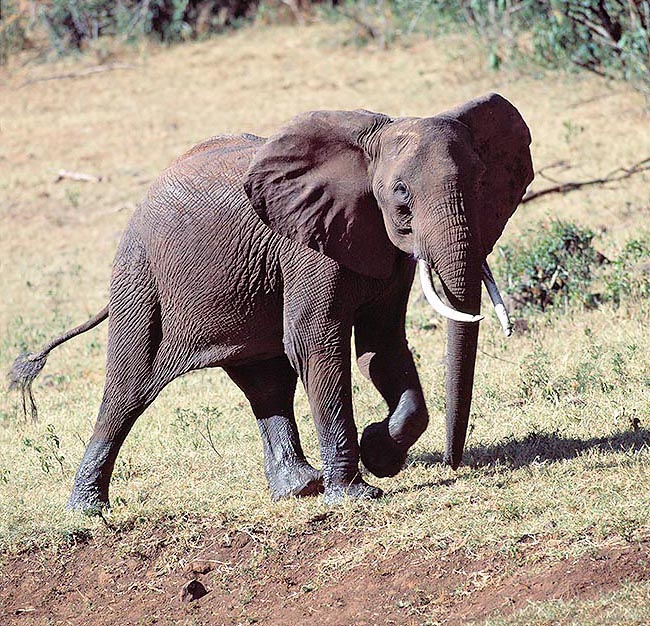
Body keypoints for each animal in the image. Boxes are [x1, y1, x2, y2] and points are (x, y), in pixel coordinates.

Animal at [10, 94, 532, 512]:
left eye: (482, 182)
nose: (453, 464)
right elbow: (316, 343)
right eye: (401, 194)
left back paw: (300, 487)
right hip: (140, 278)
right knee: (127, 389)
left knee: (266, 381)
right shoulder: (306, 244)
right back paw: (86, 510)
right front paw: (359, 494)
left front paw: (380, 453)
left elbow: (381, 346)